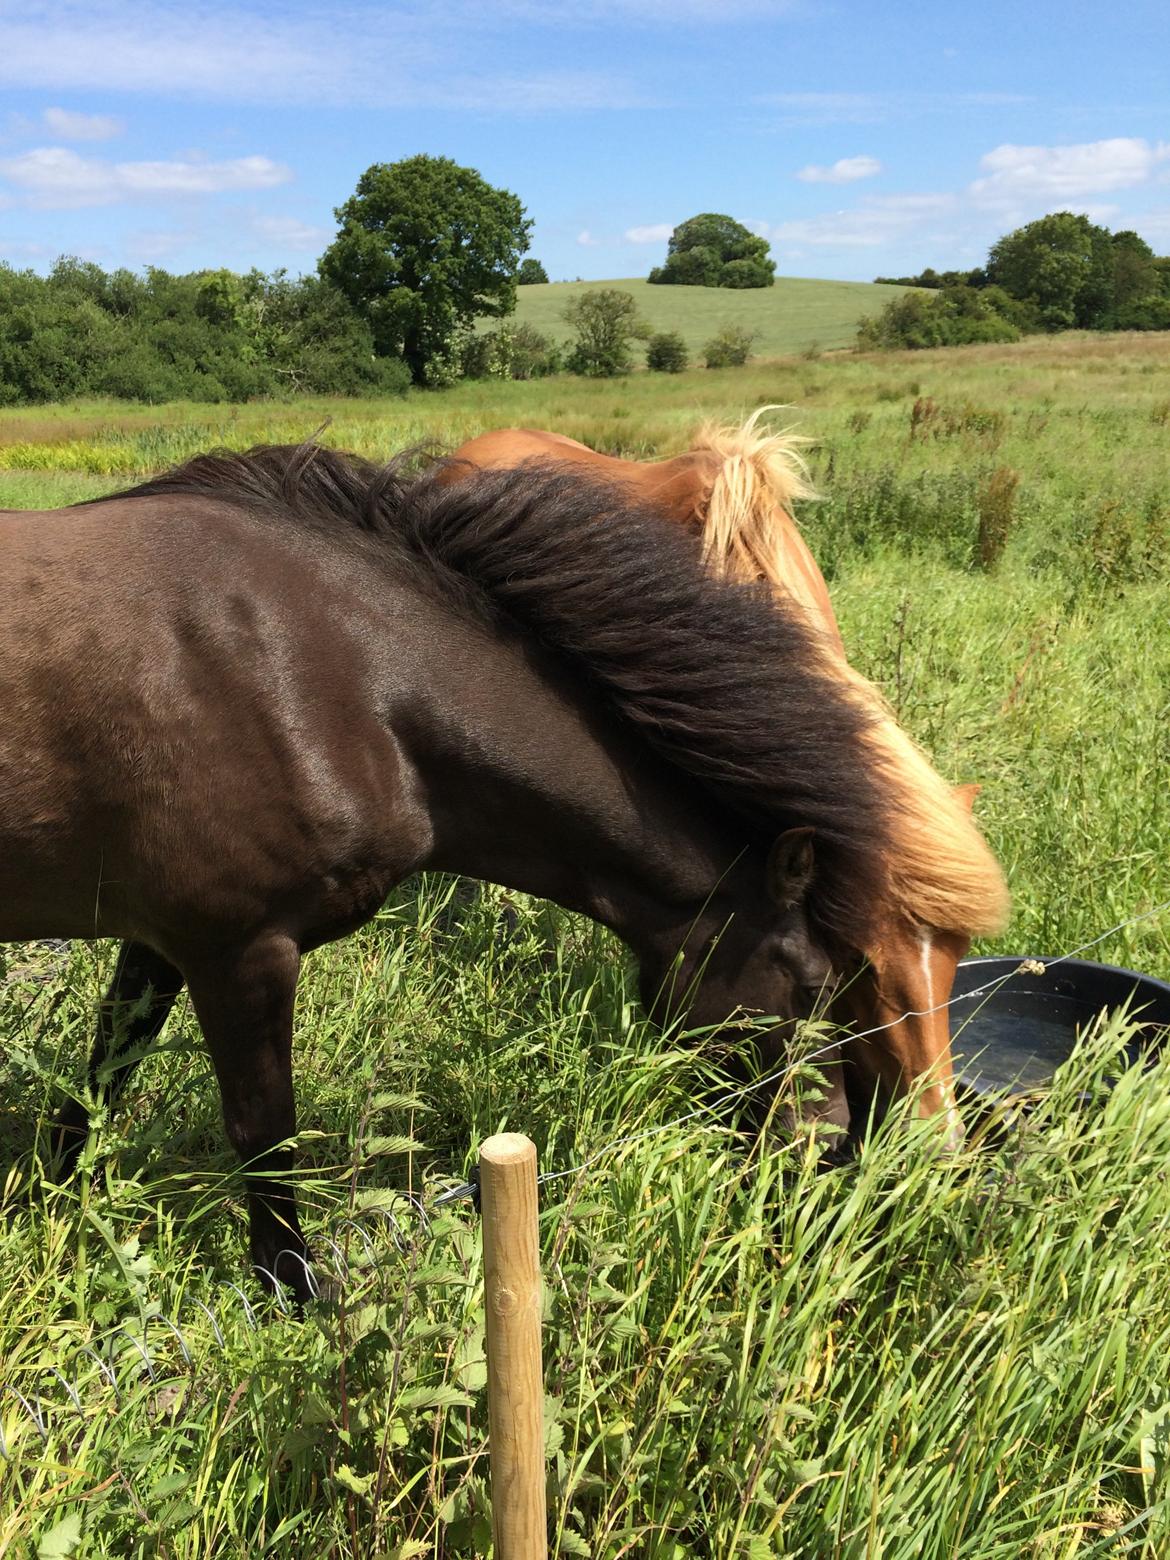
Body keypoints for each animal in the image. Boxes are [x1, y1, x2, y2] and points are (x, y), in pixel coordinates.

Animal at [0, 446, 904, 1297]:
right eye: (813, 985)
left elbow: (99, 1079)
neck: (339, 675)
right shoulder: (240, 951)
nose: (828, 1152)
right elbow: (266, 1135)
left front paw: (44, 1208)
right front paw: (292, 1293)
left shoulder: (161, 941)